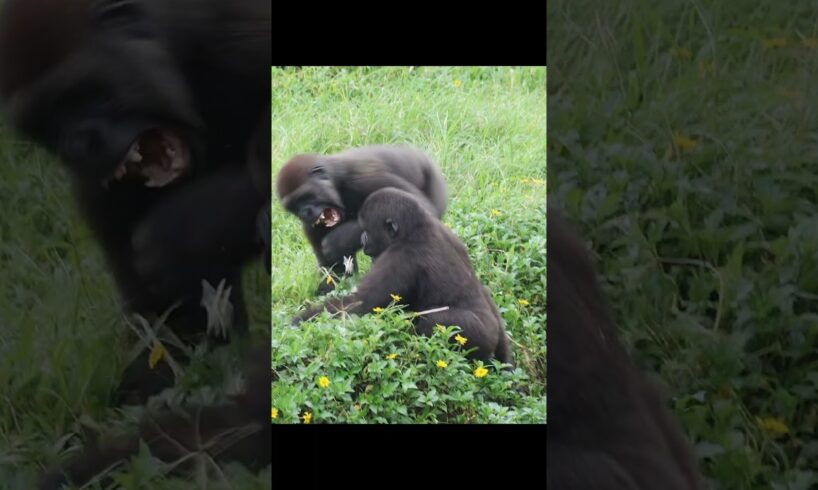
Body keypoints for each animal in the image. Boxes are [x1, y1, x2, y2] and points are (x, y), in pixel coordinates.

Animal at [0, 0, 274, 406]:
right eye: (47, 128)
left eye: (77, 94)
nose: (75, 148)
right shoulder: (97, 190)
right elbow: (162, 324)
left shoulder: (236, 37)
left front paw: (179, 234)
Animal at [276, 144, 446, 292]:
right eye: (294, 207)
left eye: (305, 197)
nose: (304, 213)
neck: (336, 180)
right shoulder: (310, 226)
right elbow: (332, 269)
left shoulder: (364, 179)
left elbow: (420, 207)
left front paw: (338, 240)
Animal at [294, 189, 510, 366]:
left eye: (367, 229)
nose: (363, 238)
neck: (415, 229)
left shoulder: (399, 259)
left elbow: (360, 305)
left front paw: (300, 320)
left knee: (436, 320)